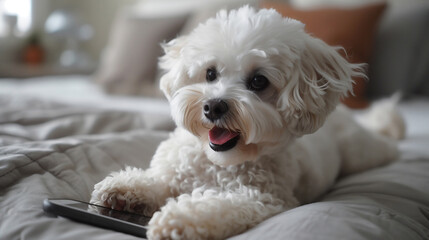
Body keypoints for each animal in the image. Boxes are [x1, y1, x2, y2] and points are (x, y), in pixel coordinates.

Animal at [91, 6, 404, 239]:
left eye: (258, 81)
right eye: (210, 73)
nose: (213, 106)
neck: (218, 163)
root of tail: (343, 113)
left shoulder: (260, 198)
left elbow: (215, 205)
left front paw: (178, 220)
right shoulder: (175, 174)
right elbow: (157, 181)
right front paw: (126, 188)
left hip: (361, 152)